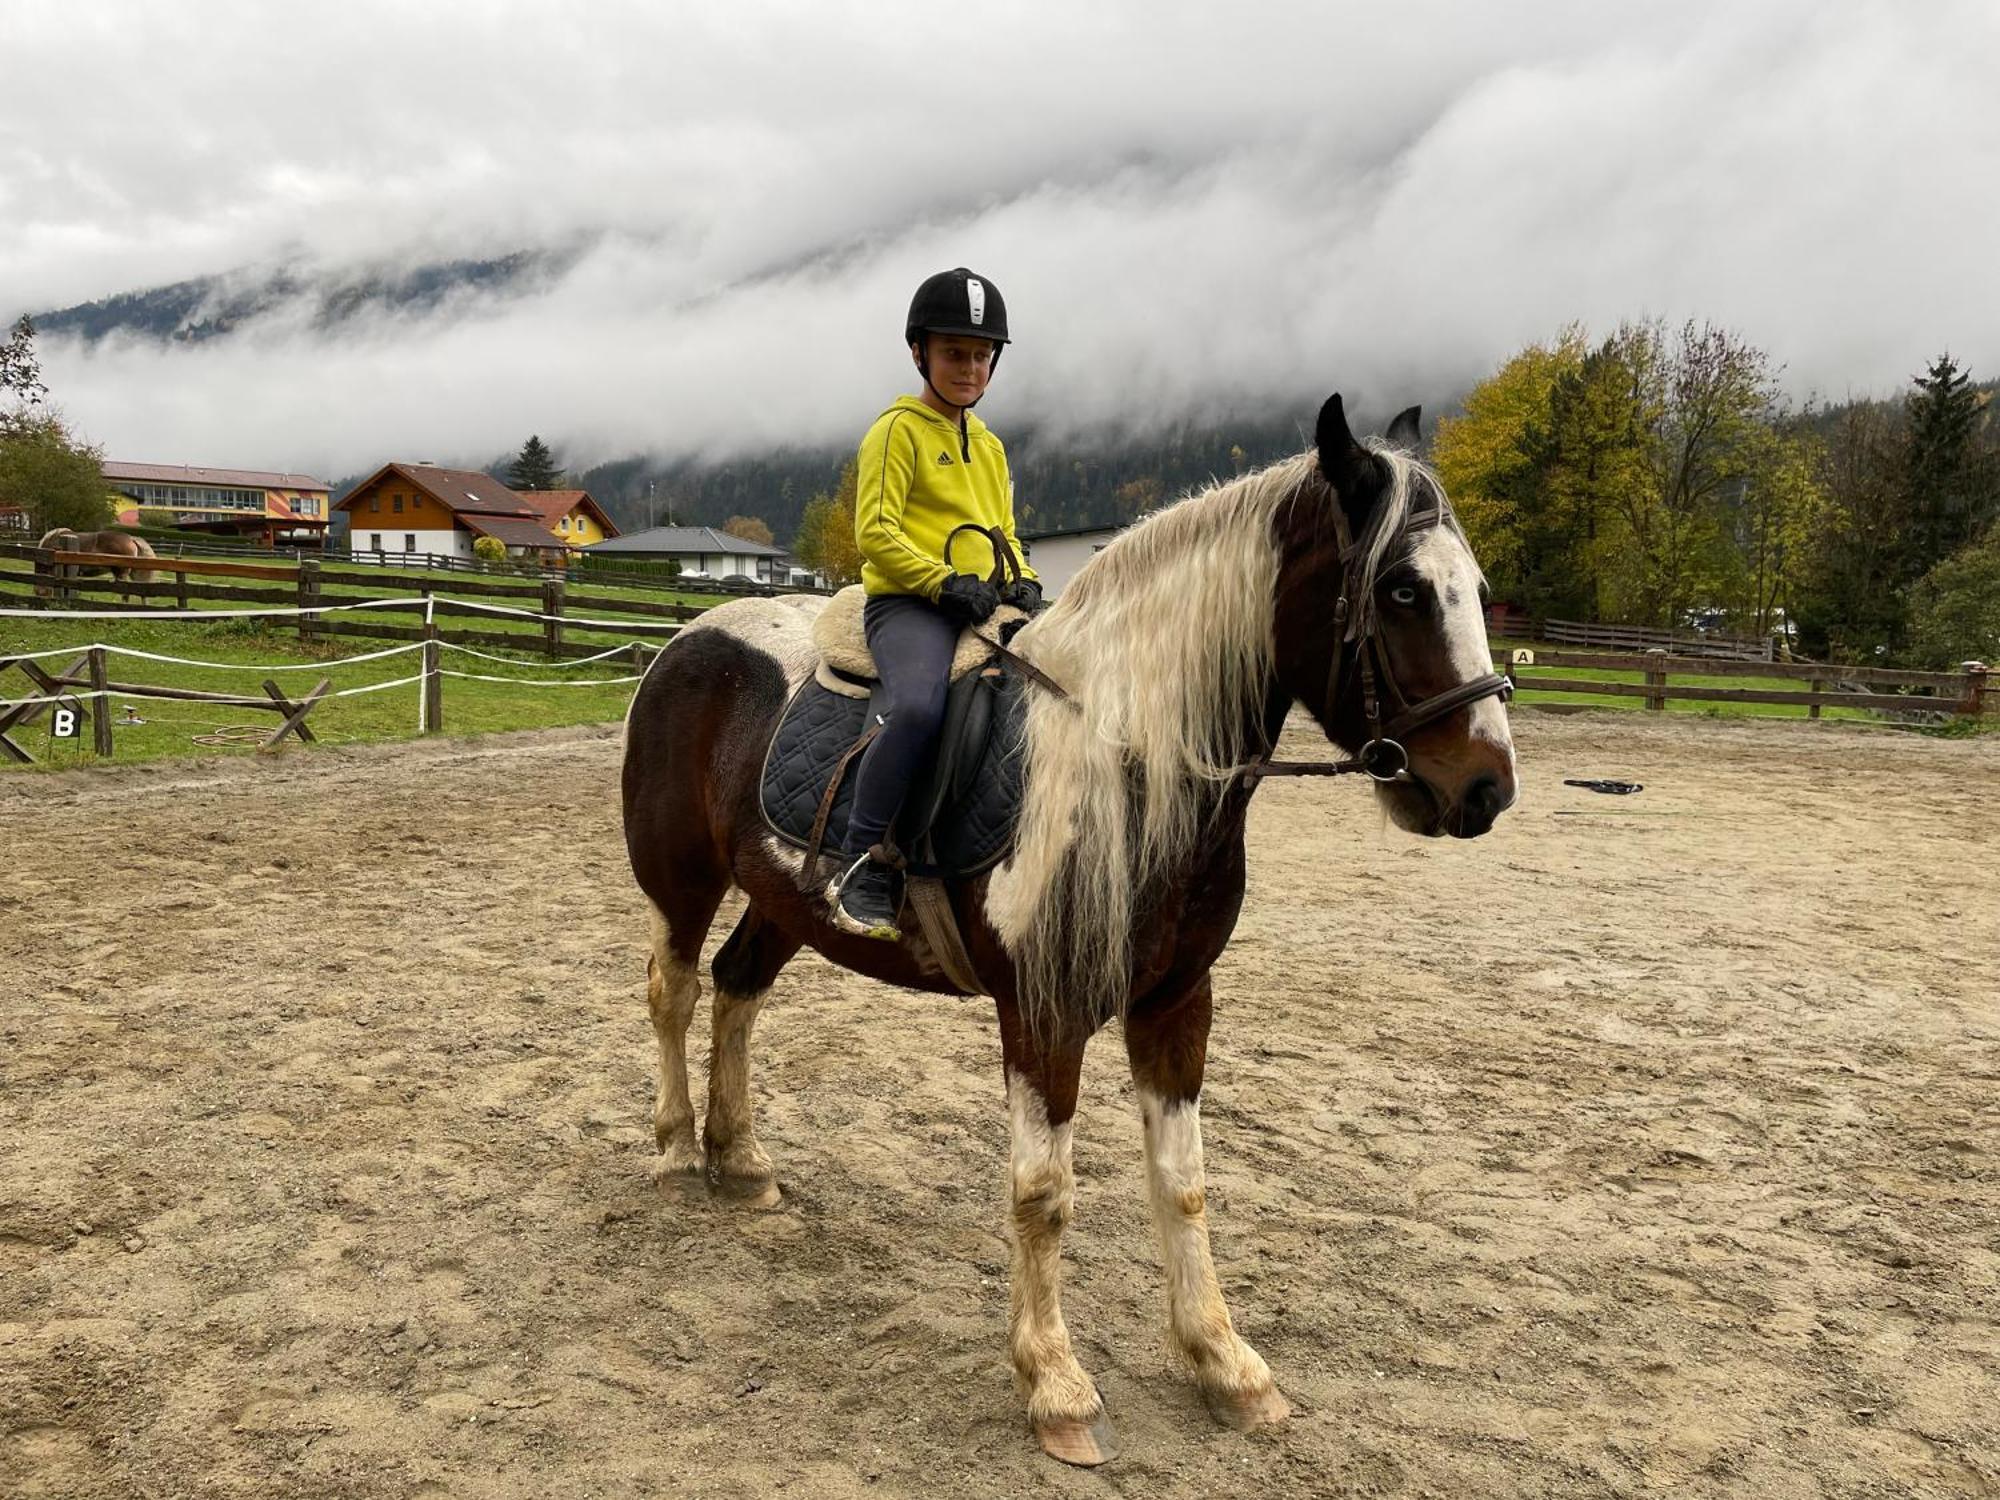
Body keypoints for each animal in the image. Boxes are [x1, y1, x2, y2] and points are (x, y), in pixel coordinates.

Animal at [620, 396, 1512, 1472]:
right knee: (673, 991)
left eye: (1477, 590)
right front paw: (1056, 1386)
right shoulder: (1043, 1016)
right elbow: (1043, 1194)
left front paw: (1225, 1364)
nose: (1486, 788)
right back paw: (676, 1152)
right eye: (1401, 589)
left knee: (738, 991)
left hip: (782, 901)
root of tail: (687, 641)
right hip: (682, 880)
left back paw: (741, 1161)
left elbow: (1184, 1184)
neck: (1125, 762)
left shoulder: (1176, 1003)